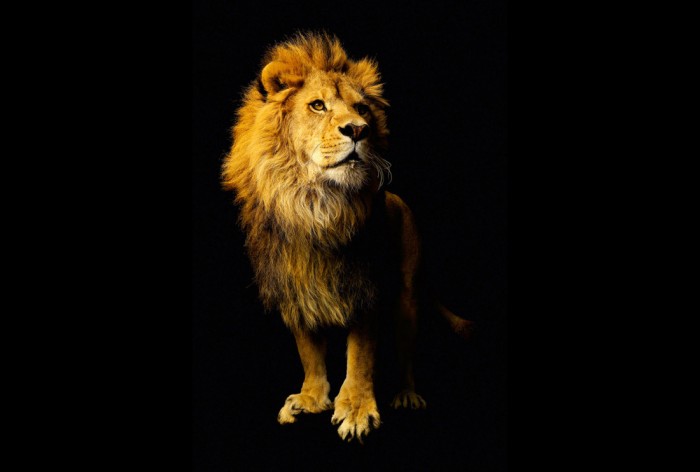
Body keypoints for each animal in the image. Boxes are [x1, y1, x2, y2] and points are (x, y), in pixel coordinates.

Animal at [221, 32, 471, 442]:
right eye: (317, 105)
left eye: (362, 108)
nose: (357, 129)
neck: (314, 205)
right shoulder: (294, 289)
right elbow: (308, 351)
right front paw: (310, 398)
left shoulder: (364, 287)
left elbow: (361, 355)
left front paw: (355, 409)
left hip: (407, 298)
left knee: (405, 352)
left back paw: (407, 394)